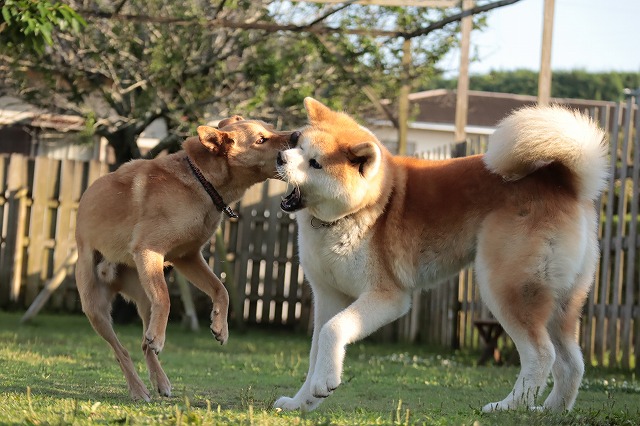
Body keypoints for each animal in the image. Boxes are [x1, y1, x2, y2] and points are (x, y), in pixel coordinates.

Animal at [75, 116, 299, 401]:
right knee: (120, 350)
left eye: (271, 128)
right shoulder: (149, 251)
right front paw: (160, 338)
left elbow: (221, 289)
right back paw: (138, 388)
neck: (202, 181)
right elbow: (166, 298)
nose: (297, 135)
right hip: (95, 308)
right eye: (261, 139)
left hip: (144, 298)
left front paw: (220, 326)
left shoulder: (187, 257)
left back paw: (160, 380)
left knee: (143, 342)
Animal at [273, 98, 608, 412]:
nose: (279, 157)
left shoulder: (387, 296)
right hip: (562, 302)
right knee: (571, 363)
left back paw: (509, 406)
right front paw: (302, 401)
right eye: (297, 143)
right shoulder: (329, 296)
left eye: (315, 163)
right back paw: (550, 410)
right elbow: (317, 349)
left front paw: (325, 382)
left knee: (542, 355)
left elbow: (333, 330)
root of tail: (562, 180)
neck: (360, 209)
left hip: (506, 287)